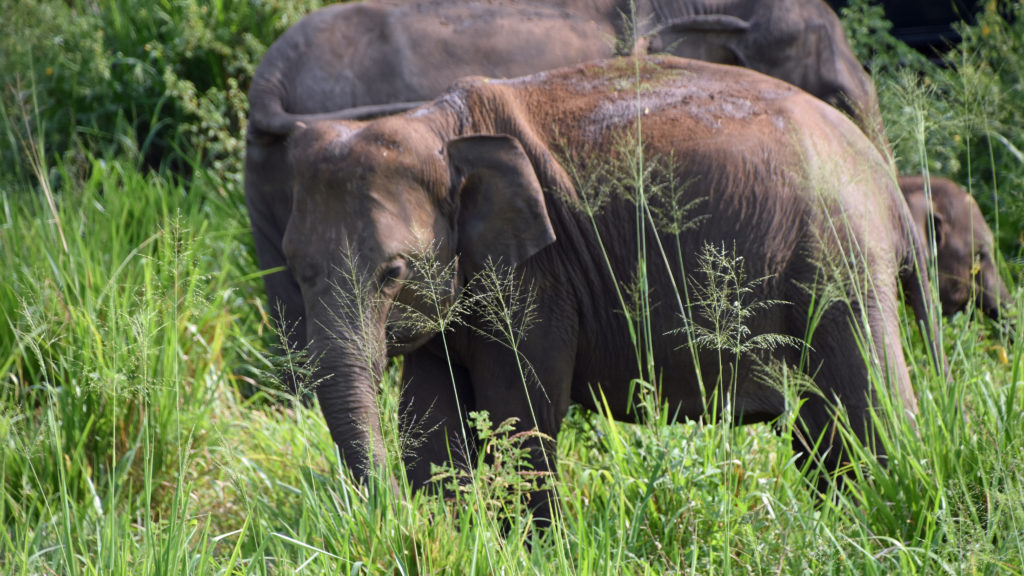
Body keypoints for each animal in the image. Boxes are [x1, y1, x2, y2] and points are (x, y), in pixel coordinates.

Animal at [278, 56, 937, 518]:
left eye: (393, 272)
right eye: (295, 269)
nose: (388, 513)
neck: (435, 126)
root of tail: (885, 178)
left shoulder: (538, 274)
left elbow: (519, 412)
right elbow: (432, 426)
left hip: (837, 262)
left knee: (868, 412)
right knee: (821, 432)